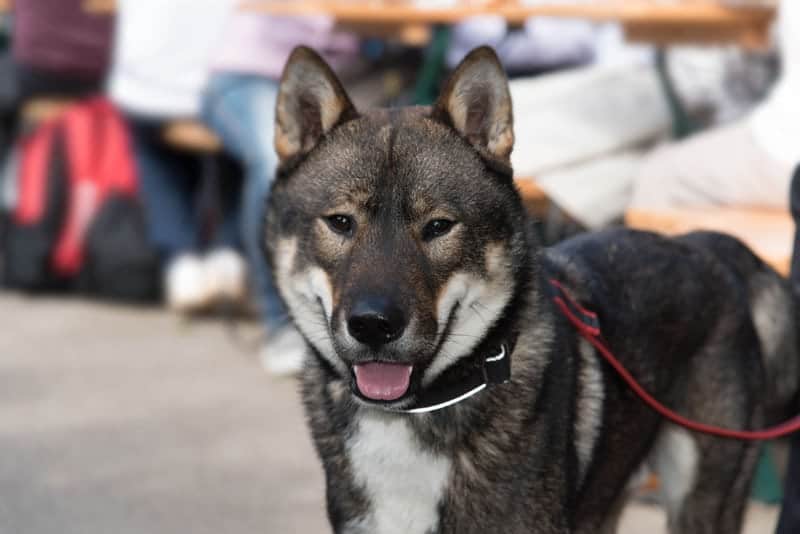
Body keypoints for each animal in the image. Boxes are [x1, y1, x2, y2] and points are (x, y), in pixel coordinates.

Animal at [264, 47, 800, 534]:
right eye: (340, 222)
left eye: (438, 227)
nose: (374, 325)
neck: (418, 411)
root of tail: (711, 245)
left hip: (701, 493)